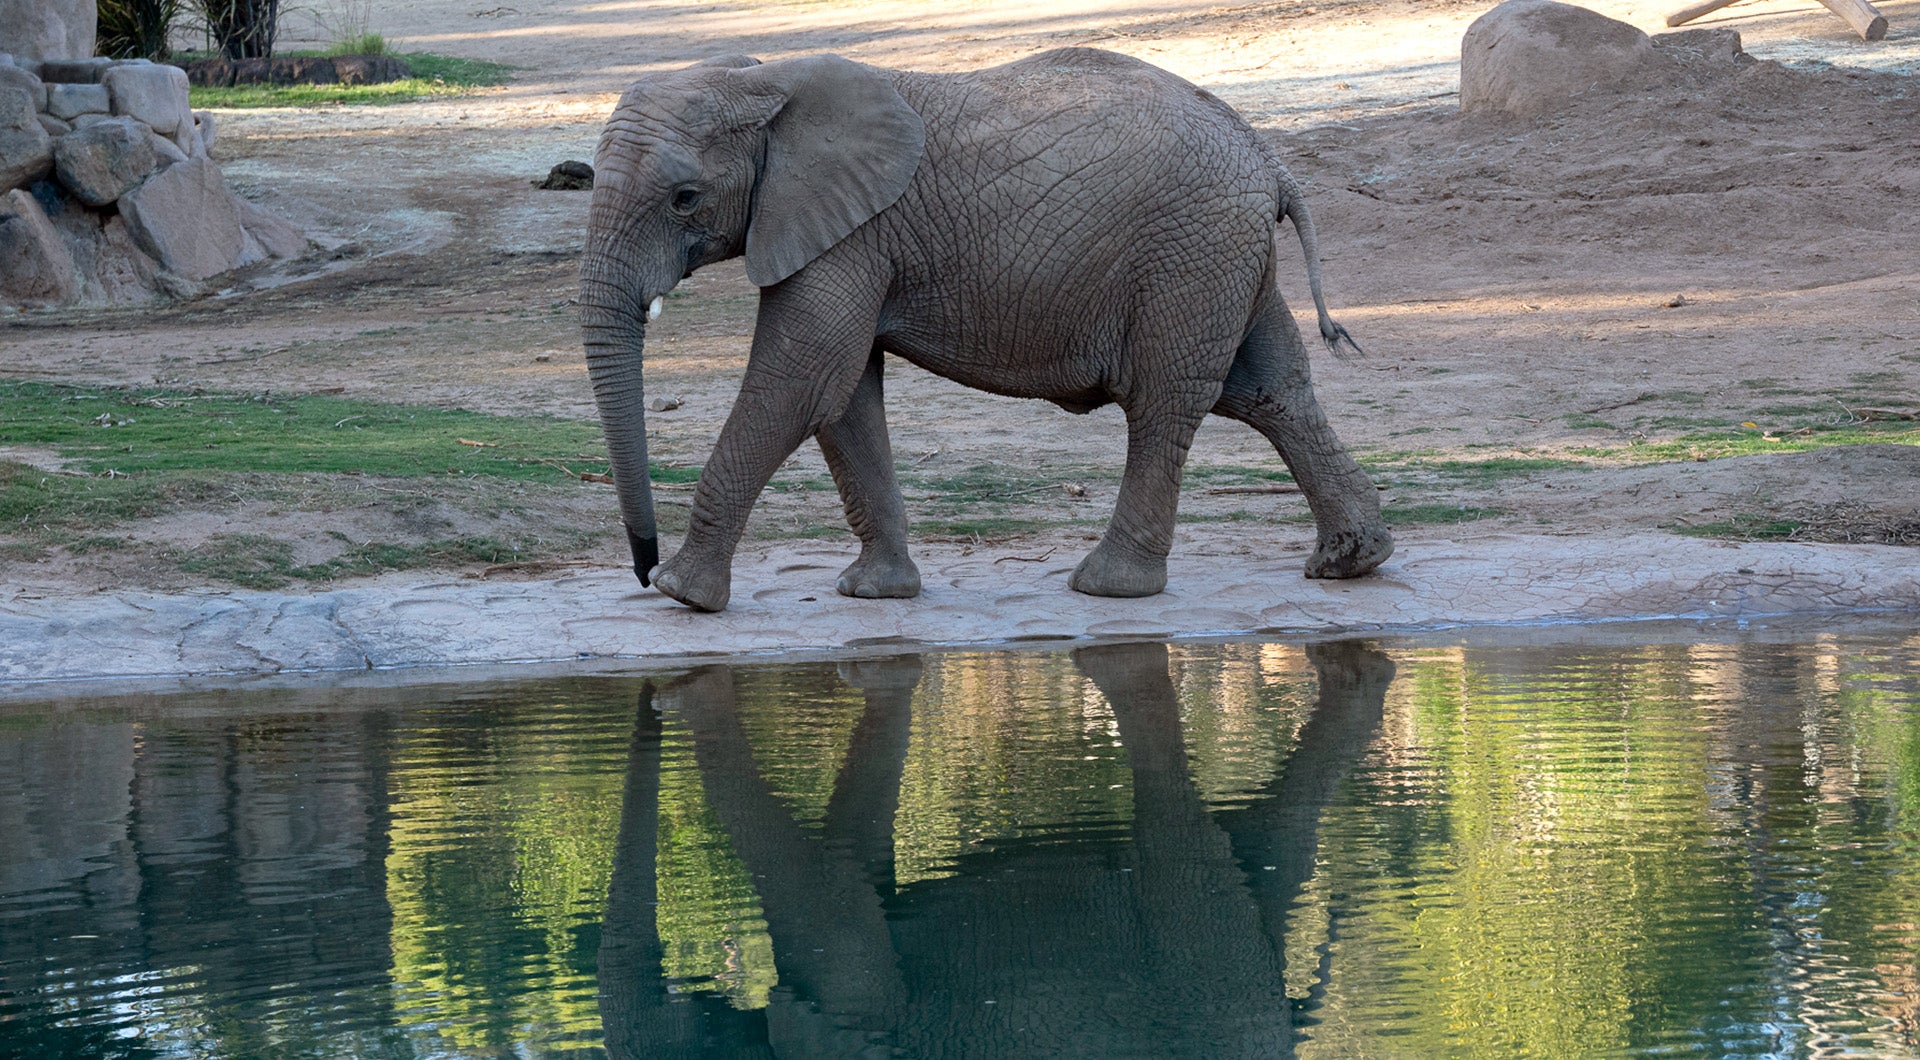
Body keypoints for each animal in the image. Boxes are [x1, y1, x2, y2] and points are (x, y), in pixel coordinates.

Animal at [580, 46, 1393, 612]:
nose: (642, 568)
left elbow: (803, 380)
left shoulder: (851, 231)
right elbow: (843, 396)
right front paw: (875, 594)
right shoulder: (847, 231)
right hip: (1224, 255)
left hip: (1192, 253)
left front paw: (684, 595)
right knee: (1270, 392)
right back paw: (1352, 562)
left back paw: (1107, 587)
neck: (762, 78)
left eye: (685, 198)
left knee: (1168, 401)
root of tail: (1271, 161)